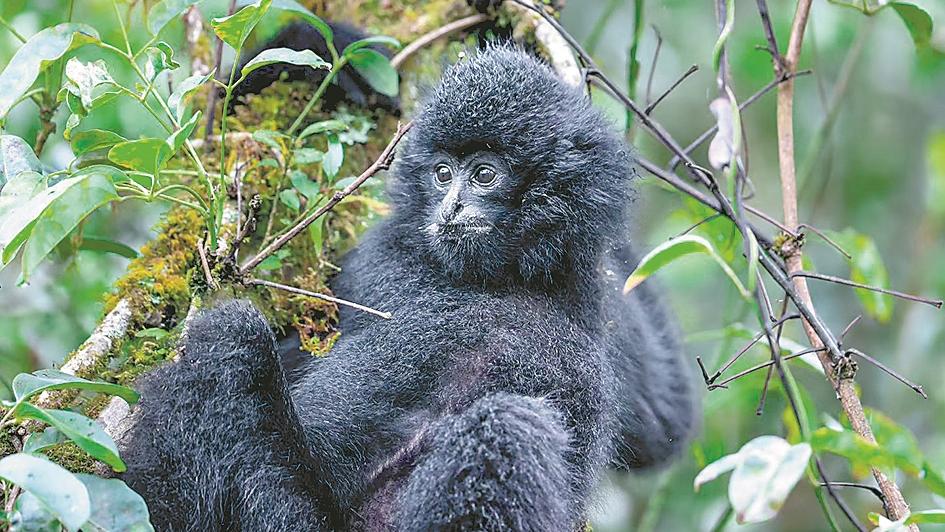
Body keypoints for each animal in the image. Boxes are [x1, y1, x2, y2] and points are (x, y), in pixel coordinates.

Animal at [119, 45, 695, 531]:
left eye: (483, 175)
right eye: (442, 173)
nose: (451, 207)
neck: (493, 279)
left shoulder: (585, 304)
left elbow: (662, 425)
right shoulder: (379, 255)